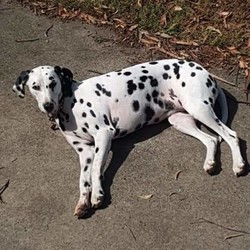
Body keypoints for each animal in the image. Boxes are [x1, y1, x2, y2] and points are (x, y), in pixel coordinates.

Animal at [12, 59, 245, 218]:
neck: (70, 101)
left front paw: (97, 195)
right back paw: (210, 163)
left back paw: (239, 165)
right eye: (35, 86)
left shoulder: (104, 135)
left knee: (231, 136)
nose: (47, 105)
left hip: (200, 109)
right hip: (181, 120)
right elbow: (82, 179)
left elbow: (96, 169)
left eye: (53, 83)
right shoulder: (84, 152)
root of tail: (204, 70)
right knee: (212, 140)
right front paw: (83, 201)